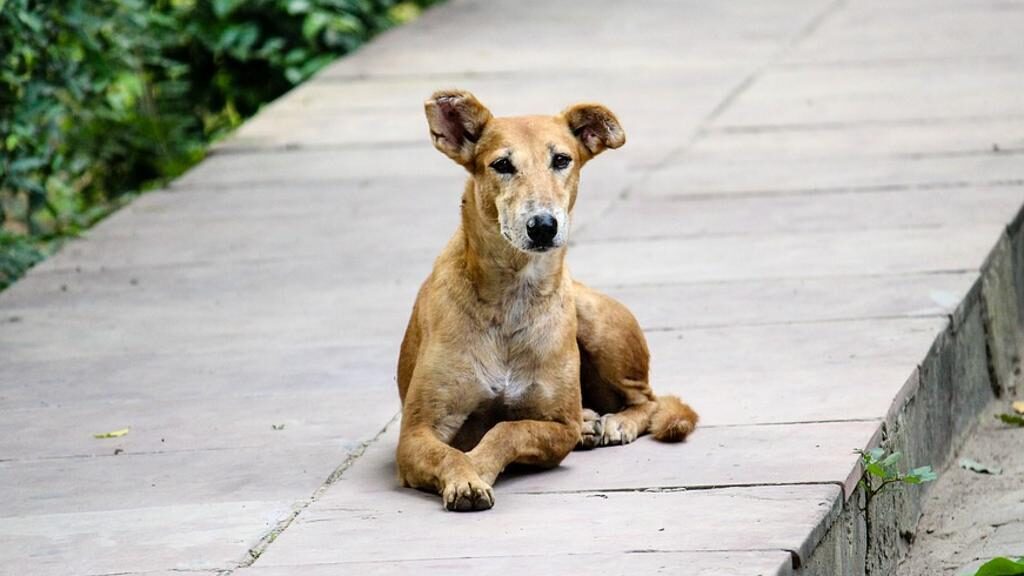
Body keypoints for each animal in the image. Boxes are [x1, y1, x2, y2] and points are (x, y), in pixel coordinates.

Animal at [395, 87, 700, 508]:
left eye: (561, 160)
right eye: (502, 164)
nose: (542, 226)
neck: (512, 294)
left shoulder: (558, 425)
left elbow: (508, 429)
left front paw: (479, 464)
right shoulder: (416, 432)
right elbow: (450, 452)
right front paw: (465, 475)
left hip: (594, 319)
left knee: (647, 399)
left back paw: (615, 422)